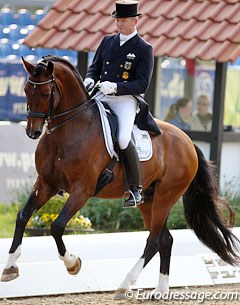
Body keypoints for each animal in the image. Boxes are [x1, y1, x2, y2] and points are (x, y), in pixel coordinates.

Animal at [1, 55, 238, 296]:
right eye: (26, 90)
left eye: (46, 94)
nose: (33, 132)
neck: (68, 130)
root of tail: (188, 141)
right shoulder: (46, 183)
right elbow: (22, 216)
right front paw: (10, 267)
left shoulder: (82, 190)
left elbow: (57, 226)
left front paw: (73, 264)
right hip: (149, 200)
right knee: (166, 239)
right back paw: (160, 290)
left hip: (166, 196)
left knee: (154, 240)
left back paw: (125, 285)